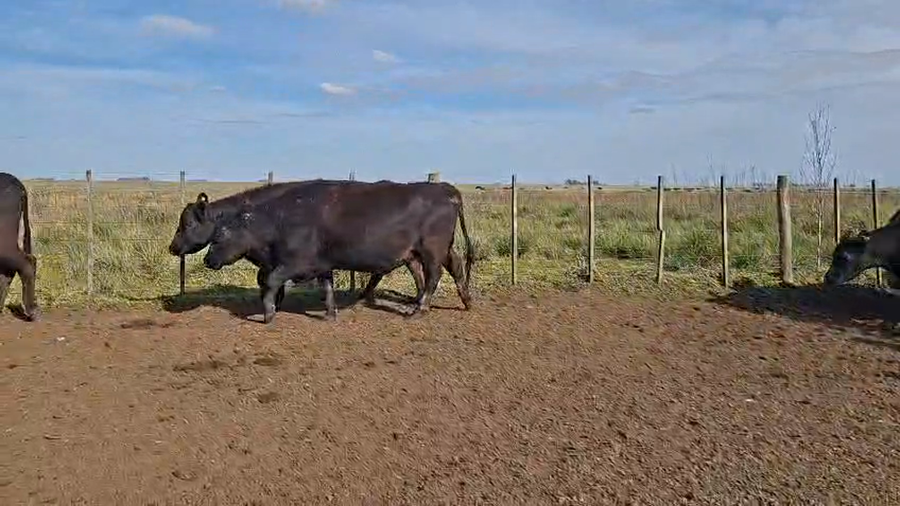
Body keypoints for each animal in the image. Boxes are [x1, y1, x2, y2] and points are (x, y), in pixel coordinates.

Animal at [202, 180, 474, 323]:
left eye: (221, 234)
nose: (207, 259)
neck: (280, 220)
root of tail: (445, 189)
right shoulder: (322, 265)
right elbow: (328, 288)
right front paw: (330, 313)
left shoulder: (293, 264)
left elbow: (270, 281)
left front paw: (268, 314)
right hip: (440, 249)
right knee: (456, 267)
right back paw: (466, 301)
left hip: (431, 250)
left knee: (433, 276)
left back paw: (420, 308)